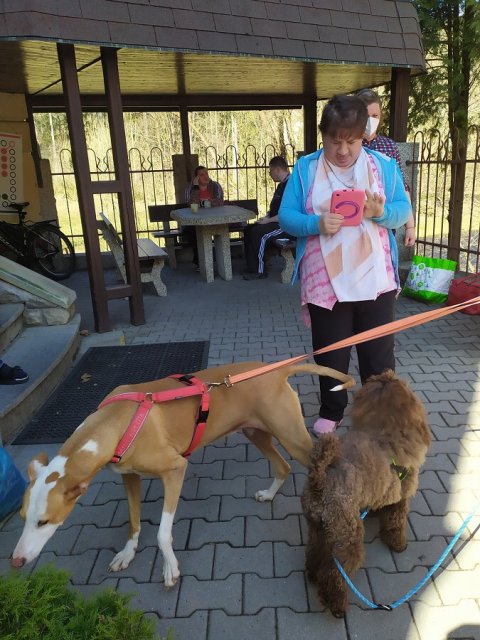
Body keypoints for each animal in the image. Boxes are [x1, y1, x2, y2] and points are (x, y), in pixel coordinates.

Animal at [11, 360, 355, 587]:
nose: (16, 562)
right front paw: (127, 553)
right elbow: (134, 522)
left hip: (292, 437)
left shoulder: (175, 470)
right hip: (255, 431)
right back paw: (270, 494)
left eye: (44, 522)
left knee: (331, 464)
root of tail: (275, 369)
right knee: (282, 466)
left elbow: (162, 533)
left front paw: (170, 568)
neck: (113, 422)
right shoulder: (129, 476)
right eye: (23, 518)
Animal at [301, 370, 431, 618]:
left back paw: (312, 575)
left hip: (318, 529)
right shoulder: (400, 500)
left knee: (315, 554)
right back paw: (336, 604)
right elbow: (395, 522)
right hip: (348, 537)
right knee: (334, 573)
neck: (385, 431)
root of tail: (320, 480)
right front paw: (398, 544)